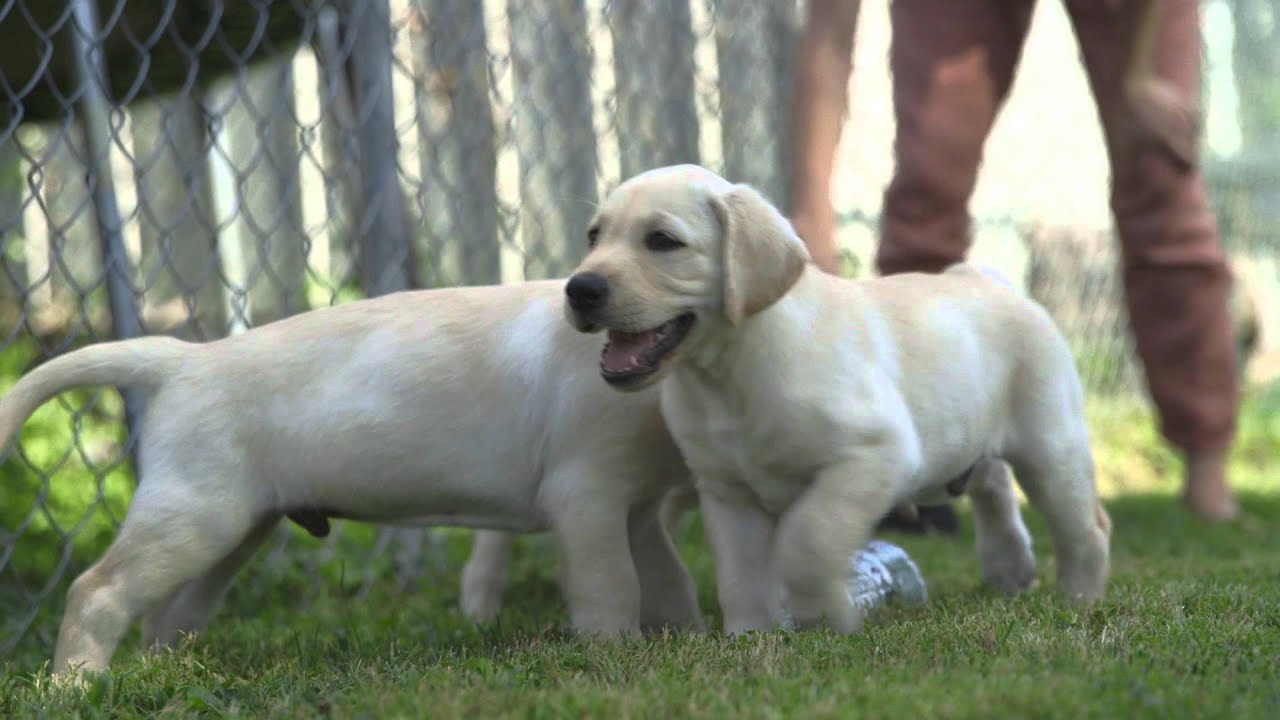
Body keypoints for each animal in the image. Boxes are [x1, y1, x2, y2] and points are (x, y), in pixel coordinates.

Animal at [0, 279, 706, 671]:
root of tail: (183, 360)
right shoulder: (589, 501)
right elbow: (610, 589)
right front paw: (620, 662)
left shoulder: (637, 510)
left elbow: (670, 583)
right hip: (194, 517)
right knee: (97, 591)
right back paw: (76, 687)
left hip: (232, 532)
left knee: (168, 616)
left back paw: (162, 678)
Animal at [563, 163, 1111, 632]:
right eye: (594, 236)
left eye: (663, 241)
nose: (580, 288)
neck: (727, 375)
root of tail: (989, 280)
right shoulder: (726, 491)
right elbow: (740, 574)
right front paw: (750, 636)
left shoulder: (874, 455)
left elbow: (808, 538)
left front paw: (824, 615)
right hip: (970, 438)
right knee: (993, 482)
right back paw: (1010, 567)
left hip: (1051, 448)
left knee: (1087, 527)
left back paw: (1080, 598)